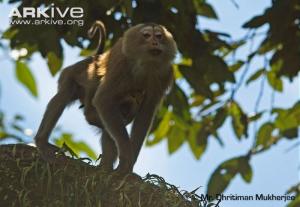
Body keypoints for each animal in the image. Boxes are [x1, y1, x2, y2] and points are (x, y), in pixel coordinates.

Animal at [34, 20, 177, 173]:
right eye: (147, 35)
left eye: (159, 36)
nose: (155, 43)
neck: (145, 64)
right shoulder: (121, 63)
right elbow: (103, 99)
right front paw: (126, 157)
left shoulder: (165, 75)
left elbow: (144, 114)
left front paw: (129, 161)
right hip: (72, 73)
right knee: (64, 96)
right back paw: (42, 141)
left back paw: (105, 166)